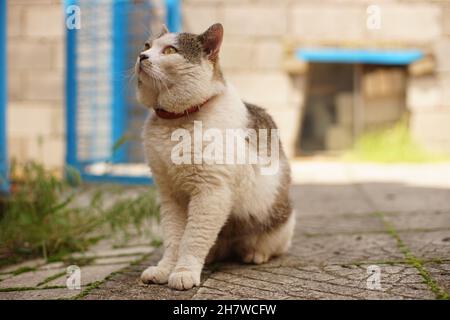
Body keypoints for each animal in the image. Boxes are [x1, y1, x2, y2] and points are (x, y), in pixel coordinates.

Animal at [135, 23, 294, 292]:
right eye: (147, 46)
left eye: (169, 50)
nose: (141, 56)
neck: (175, 123)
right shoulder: (170, 194)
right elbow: (174, 239)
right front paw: (165, 269)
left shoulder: (210, 192)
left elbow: (192, 239)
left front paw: (184, 272)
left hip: (278, 220)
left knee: (271, 246)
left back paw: (255, 254)